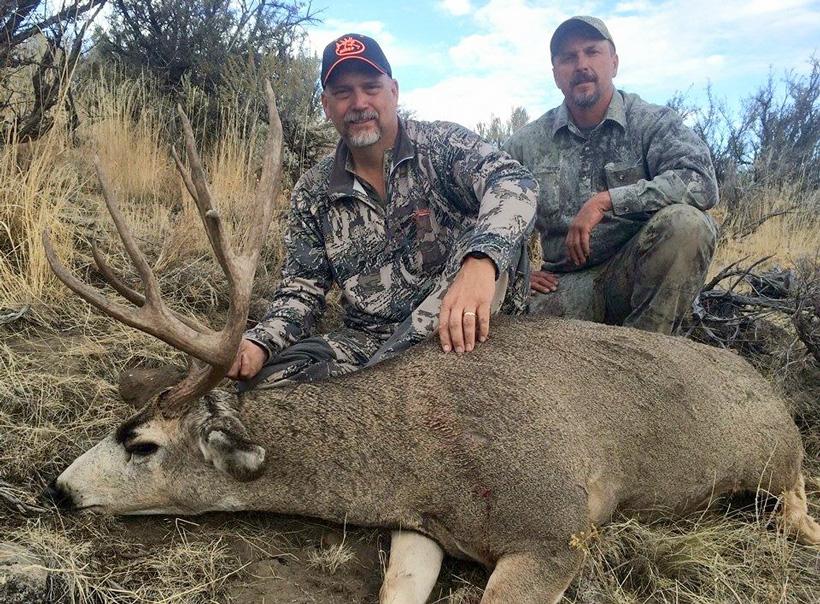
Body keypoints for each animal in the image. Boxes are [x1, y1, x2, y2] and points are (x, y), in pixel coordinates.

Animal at [42, 84, 820, 604]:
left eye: (141, 444)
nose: (60, 489)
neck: (426, 454)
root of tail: (765, 386)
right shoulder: (421, 529)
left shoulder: (559, 529)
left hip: (775, 458)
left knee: (795, 500)